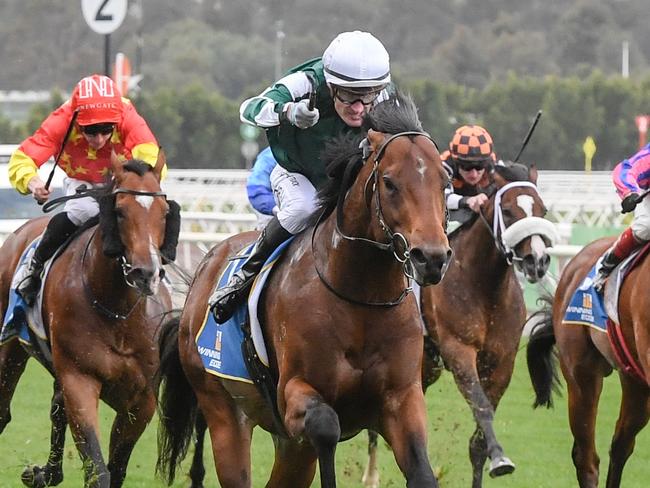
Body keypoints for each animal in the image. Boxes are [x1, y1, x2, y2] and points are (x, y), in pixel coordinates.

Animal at [157, 92, 450, 488]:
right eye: (389, 182)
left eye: (444, 180)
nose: (432, 258)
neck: (361, 298)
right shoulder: (292, 395)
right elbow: (326, 427)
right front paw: (296, 112)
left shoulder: (401, 398)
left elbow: (421, 469)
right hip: (222, 408)